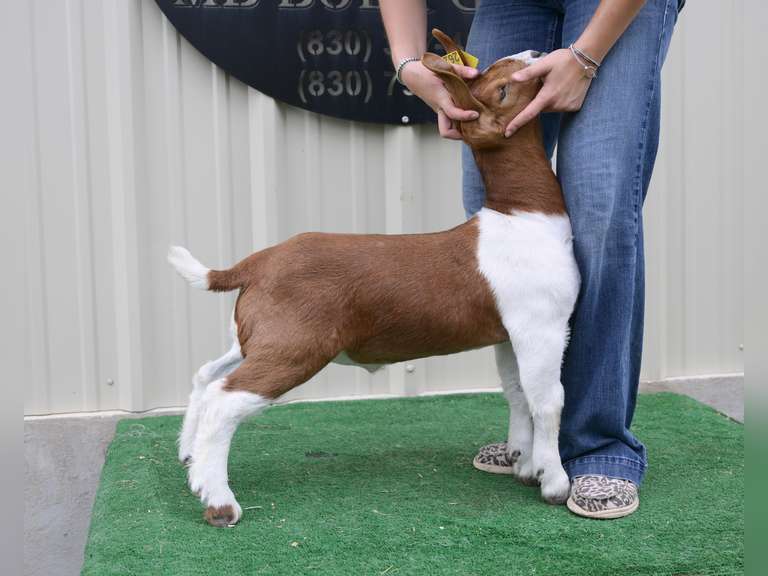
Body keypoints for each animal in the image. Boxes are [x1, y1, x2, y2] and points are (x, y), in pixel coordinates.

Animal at [168, 29, 580, 527]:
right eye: (503, 91)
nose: (537, 53)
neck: (521, 214)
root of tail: (258, 262)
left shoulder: (507, 333)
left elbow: (517, 393)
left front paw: (523, 463)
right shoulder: (543, 325)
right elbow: (548, 400)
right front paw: (553, 481)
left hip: (255, 336)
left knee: (206, 376)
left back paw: (190, 461)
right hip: (294, 346)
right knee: (224, 400)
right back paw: (219, 501)